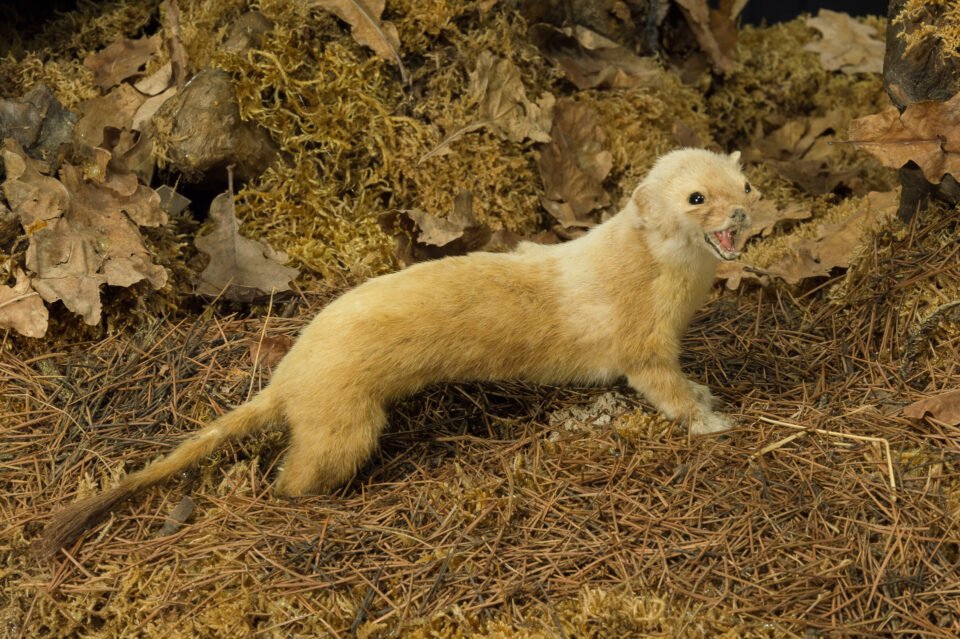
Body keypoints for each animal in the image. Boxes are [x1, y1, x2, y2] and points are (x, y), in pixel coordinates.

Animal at [39, 149, 756, 556]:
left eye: (745, 183)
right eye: (696, 197)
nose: (742, 216)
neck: (681, 292)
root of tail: (290, 372)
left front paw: (709, 393)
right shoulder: (643, 343)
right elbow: (664, 389)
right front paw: (713, 419)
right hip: (345, 427)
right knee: (296, 472)